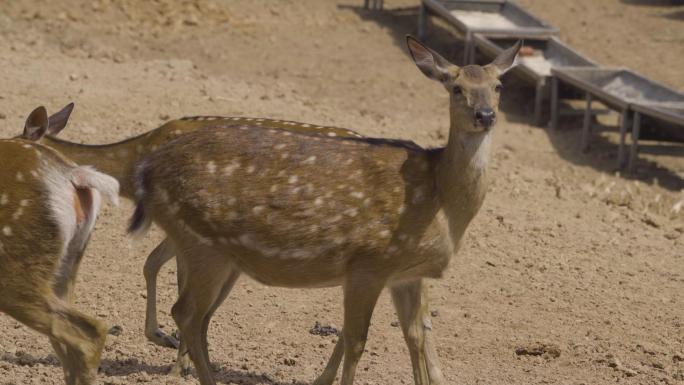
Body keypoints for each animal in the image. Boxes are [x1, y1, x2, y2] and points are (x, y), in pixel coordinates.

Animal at [128, 36, 520, 384]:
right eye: (456, 88)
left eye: (499, 86)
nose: (485, 115)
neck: (442, 203)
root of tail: (146, 171)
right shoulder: (369, 263)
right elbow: (357, 341)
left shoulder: (405, 273)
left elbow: (414, 336)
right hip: (201, 243)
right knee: (186, 313)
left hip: (219, 255)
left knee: (196, 314)